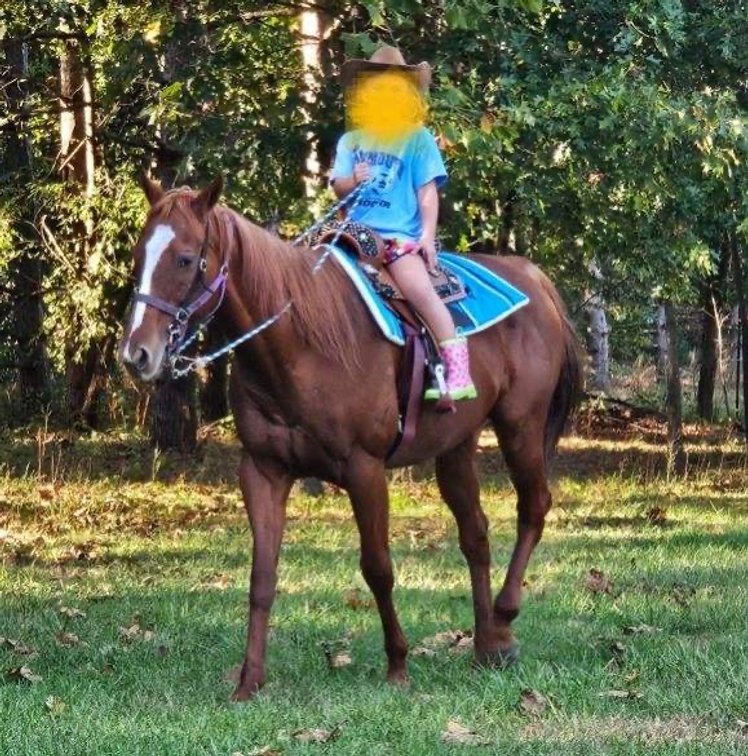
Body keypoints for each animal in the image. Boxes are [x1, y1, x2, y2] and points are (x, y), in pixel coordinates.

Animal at [119, 176, 581, 701]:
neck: (299, 343)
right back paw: (489, 644)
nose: (137, 353)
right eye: (138, 254)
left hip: (520, 425)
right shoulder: (262, 470)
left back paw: (504, 616)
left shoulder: (365, 469)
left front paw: (398, 666)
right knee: (476, 535)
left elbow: (378, 568)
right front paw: (249, 681)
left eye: (184, 258)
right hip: (456, 446)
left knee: (534, 507)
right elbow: (262, 577)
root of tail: (532, 277)